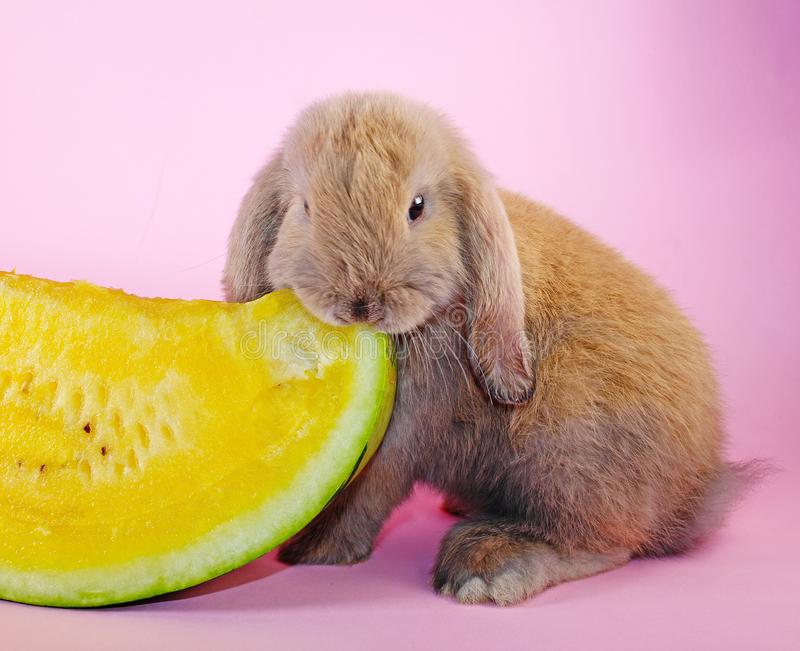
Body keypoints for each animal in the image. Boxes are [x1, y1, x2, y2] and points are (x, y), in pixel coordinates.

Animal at [223, 91, 757, 606]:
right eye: (305, 208)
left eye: (417, 206)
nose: (362, 304)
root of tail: (698, 488)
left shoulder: (408, 428)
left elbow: (371, 486)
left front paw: (313, 549)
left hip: (566, 445)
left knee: (605, 542)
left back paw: (487, 566)